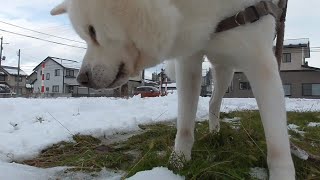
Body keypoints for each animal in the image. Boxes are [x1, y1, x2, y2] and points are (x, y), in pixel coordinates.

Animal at [50, 1, 296, 179]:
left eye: (92, 31)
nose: (81, 78)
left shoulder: (261, 61)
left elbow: (277, 143)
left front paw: (282, 173)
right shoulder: (189, 62)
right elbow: (185, 126)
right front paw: (177, 163)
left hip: (226, 69)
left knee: (214, 101)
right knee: (211, 103)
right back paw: (214, 132)